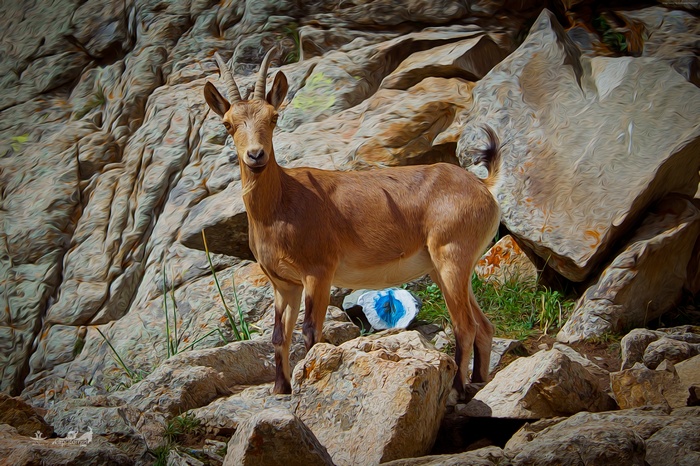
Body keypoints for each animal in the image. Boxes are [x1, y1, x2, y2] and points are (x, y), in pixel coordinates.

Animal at [203, 49, 502, 396]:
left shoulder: (318, 272)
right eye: (227, 123)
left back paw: (458, 388)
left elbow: (311, 330)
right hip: (444, 269)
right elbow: (279, 335)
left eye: (273, 117)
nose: (255, 156)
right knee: (483, 325)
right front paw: (281, 389)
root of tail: (483, 186)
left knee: (465, 325)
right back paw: (478, 380)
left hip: (452, 257)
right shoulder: (284, 284)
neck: (281, 203)